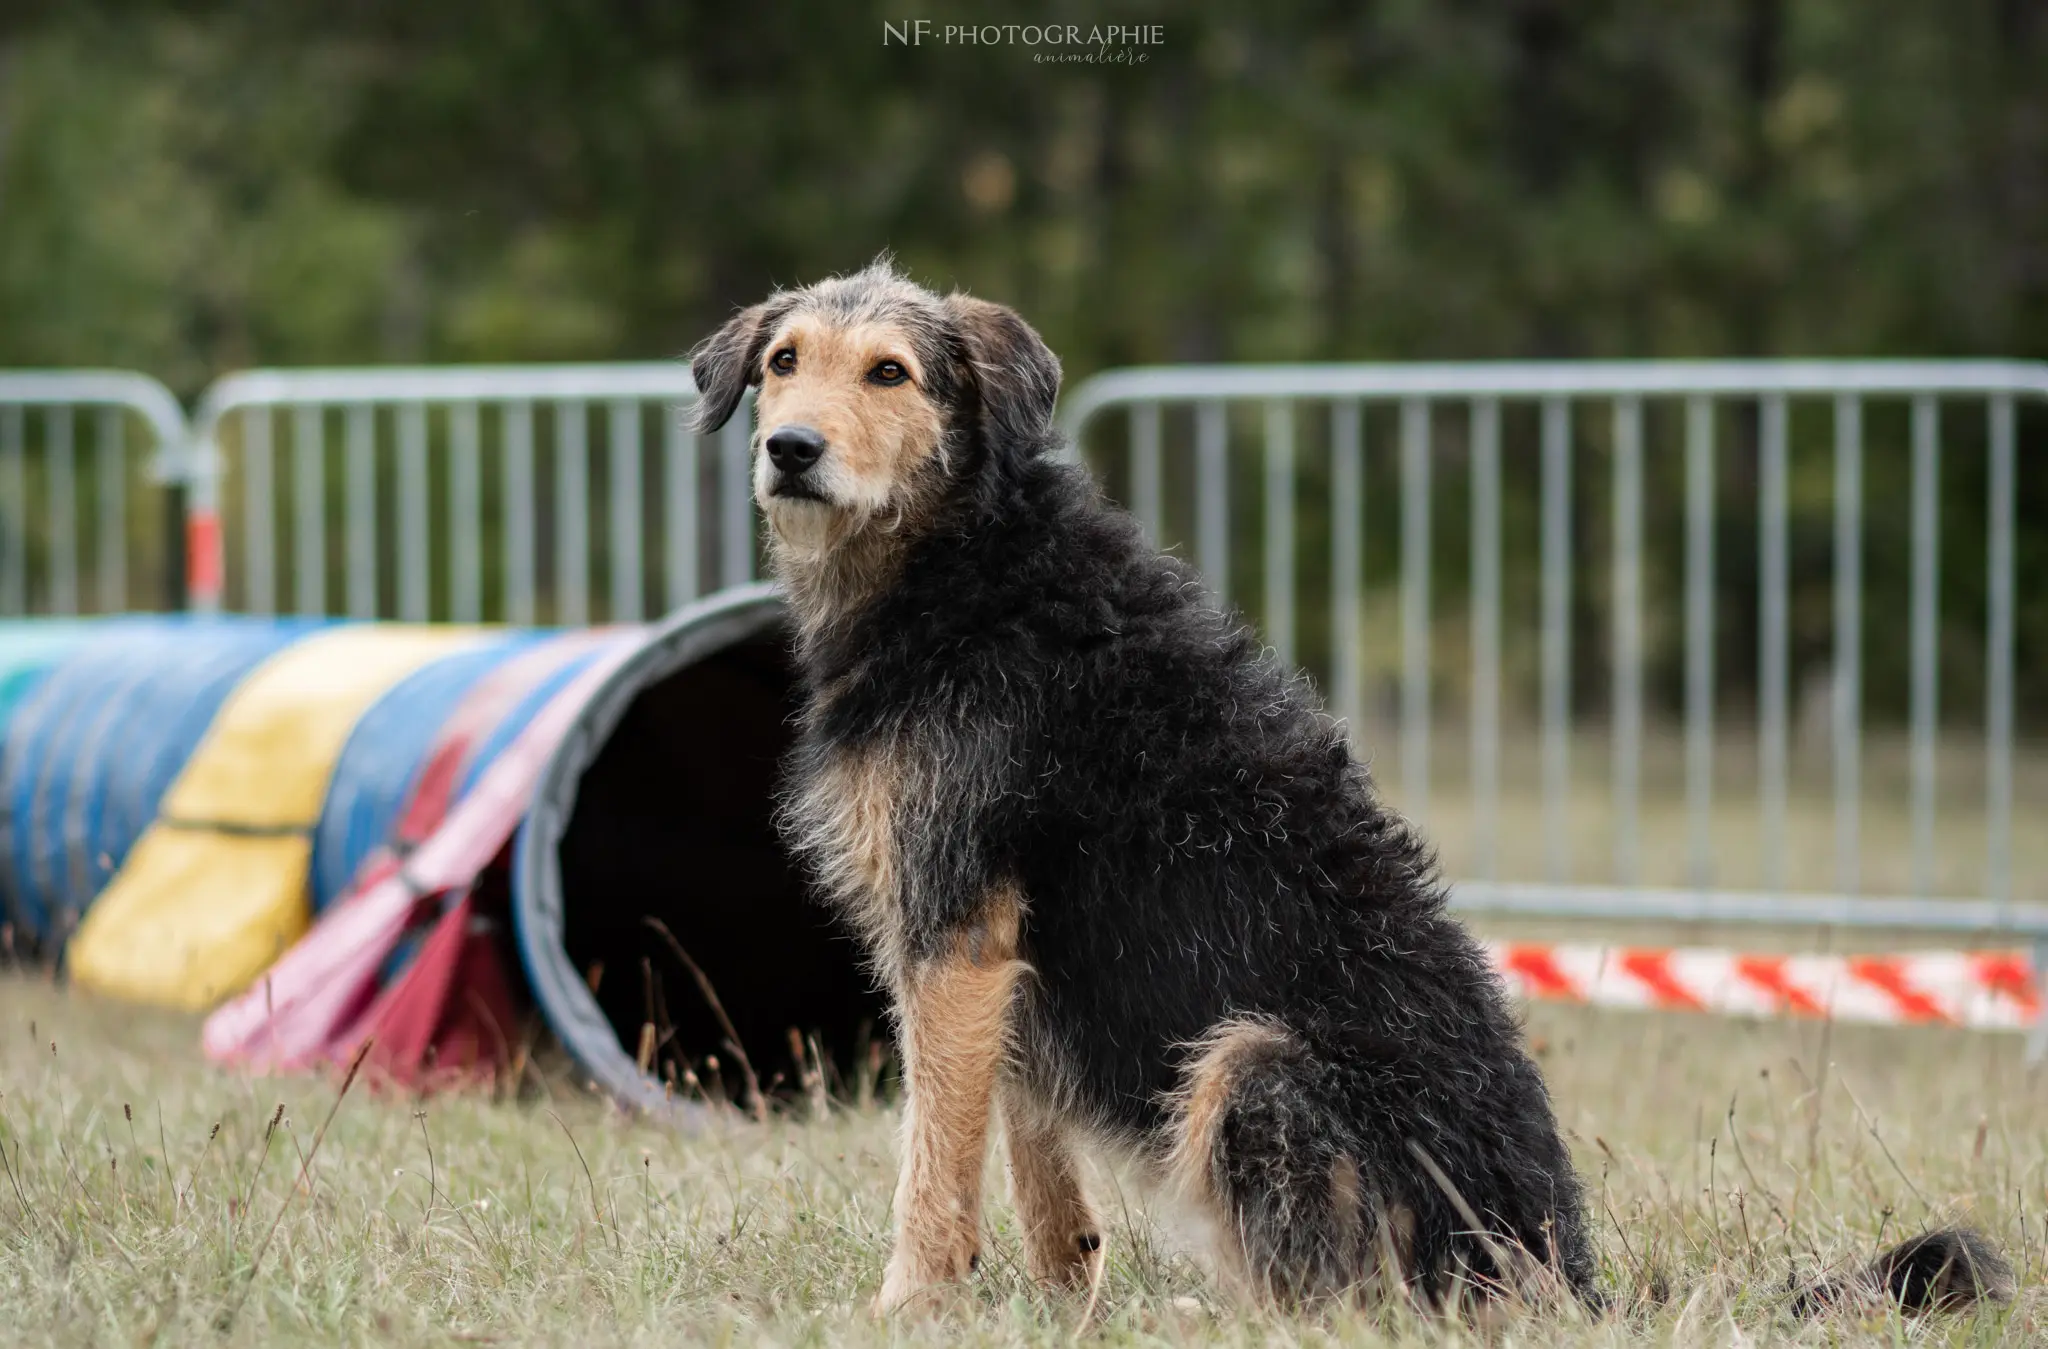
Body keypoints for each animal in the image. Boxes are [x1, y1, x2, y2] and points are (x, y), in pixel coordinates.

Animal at [692, 260, 2015, 1318]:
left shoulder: (956, 929)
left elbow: (935, 1157)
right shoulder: (991, 950)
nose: (788, 449)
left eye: (891, 372)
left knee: (1347, 1304)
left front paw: (907, 1302)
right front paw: (1062, 1297)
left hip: (1251, 1064)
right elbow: (1025, 1151)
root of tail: (1559, 1266)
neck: (966, 558)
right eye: (782, 362)